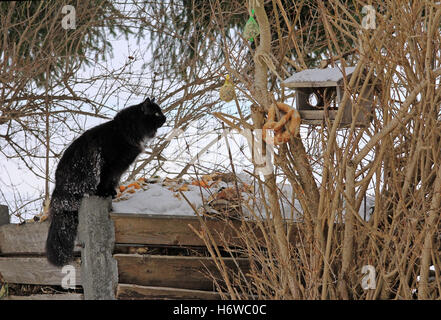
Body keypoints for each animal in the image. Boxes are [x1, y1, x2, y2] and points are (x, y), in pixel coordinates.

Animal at [45, 97, 165, 264]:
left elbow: (112, 182)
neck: (124, 131)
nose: (165, 118)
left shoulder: (118, 169)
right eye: (156, 113)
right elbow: (104, 182)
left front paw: (112, 193)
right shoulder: (109, 165)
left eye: (161, 112)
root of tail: (57, 193)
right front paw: (104, 193)